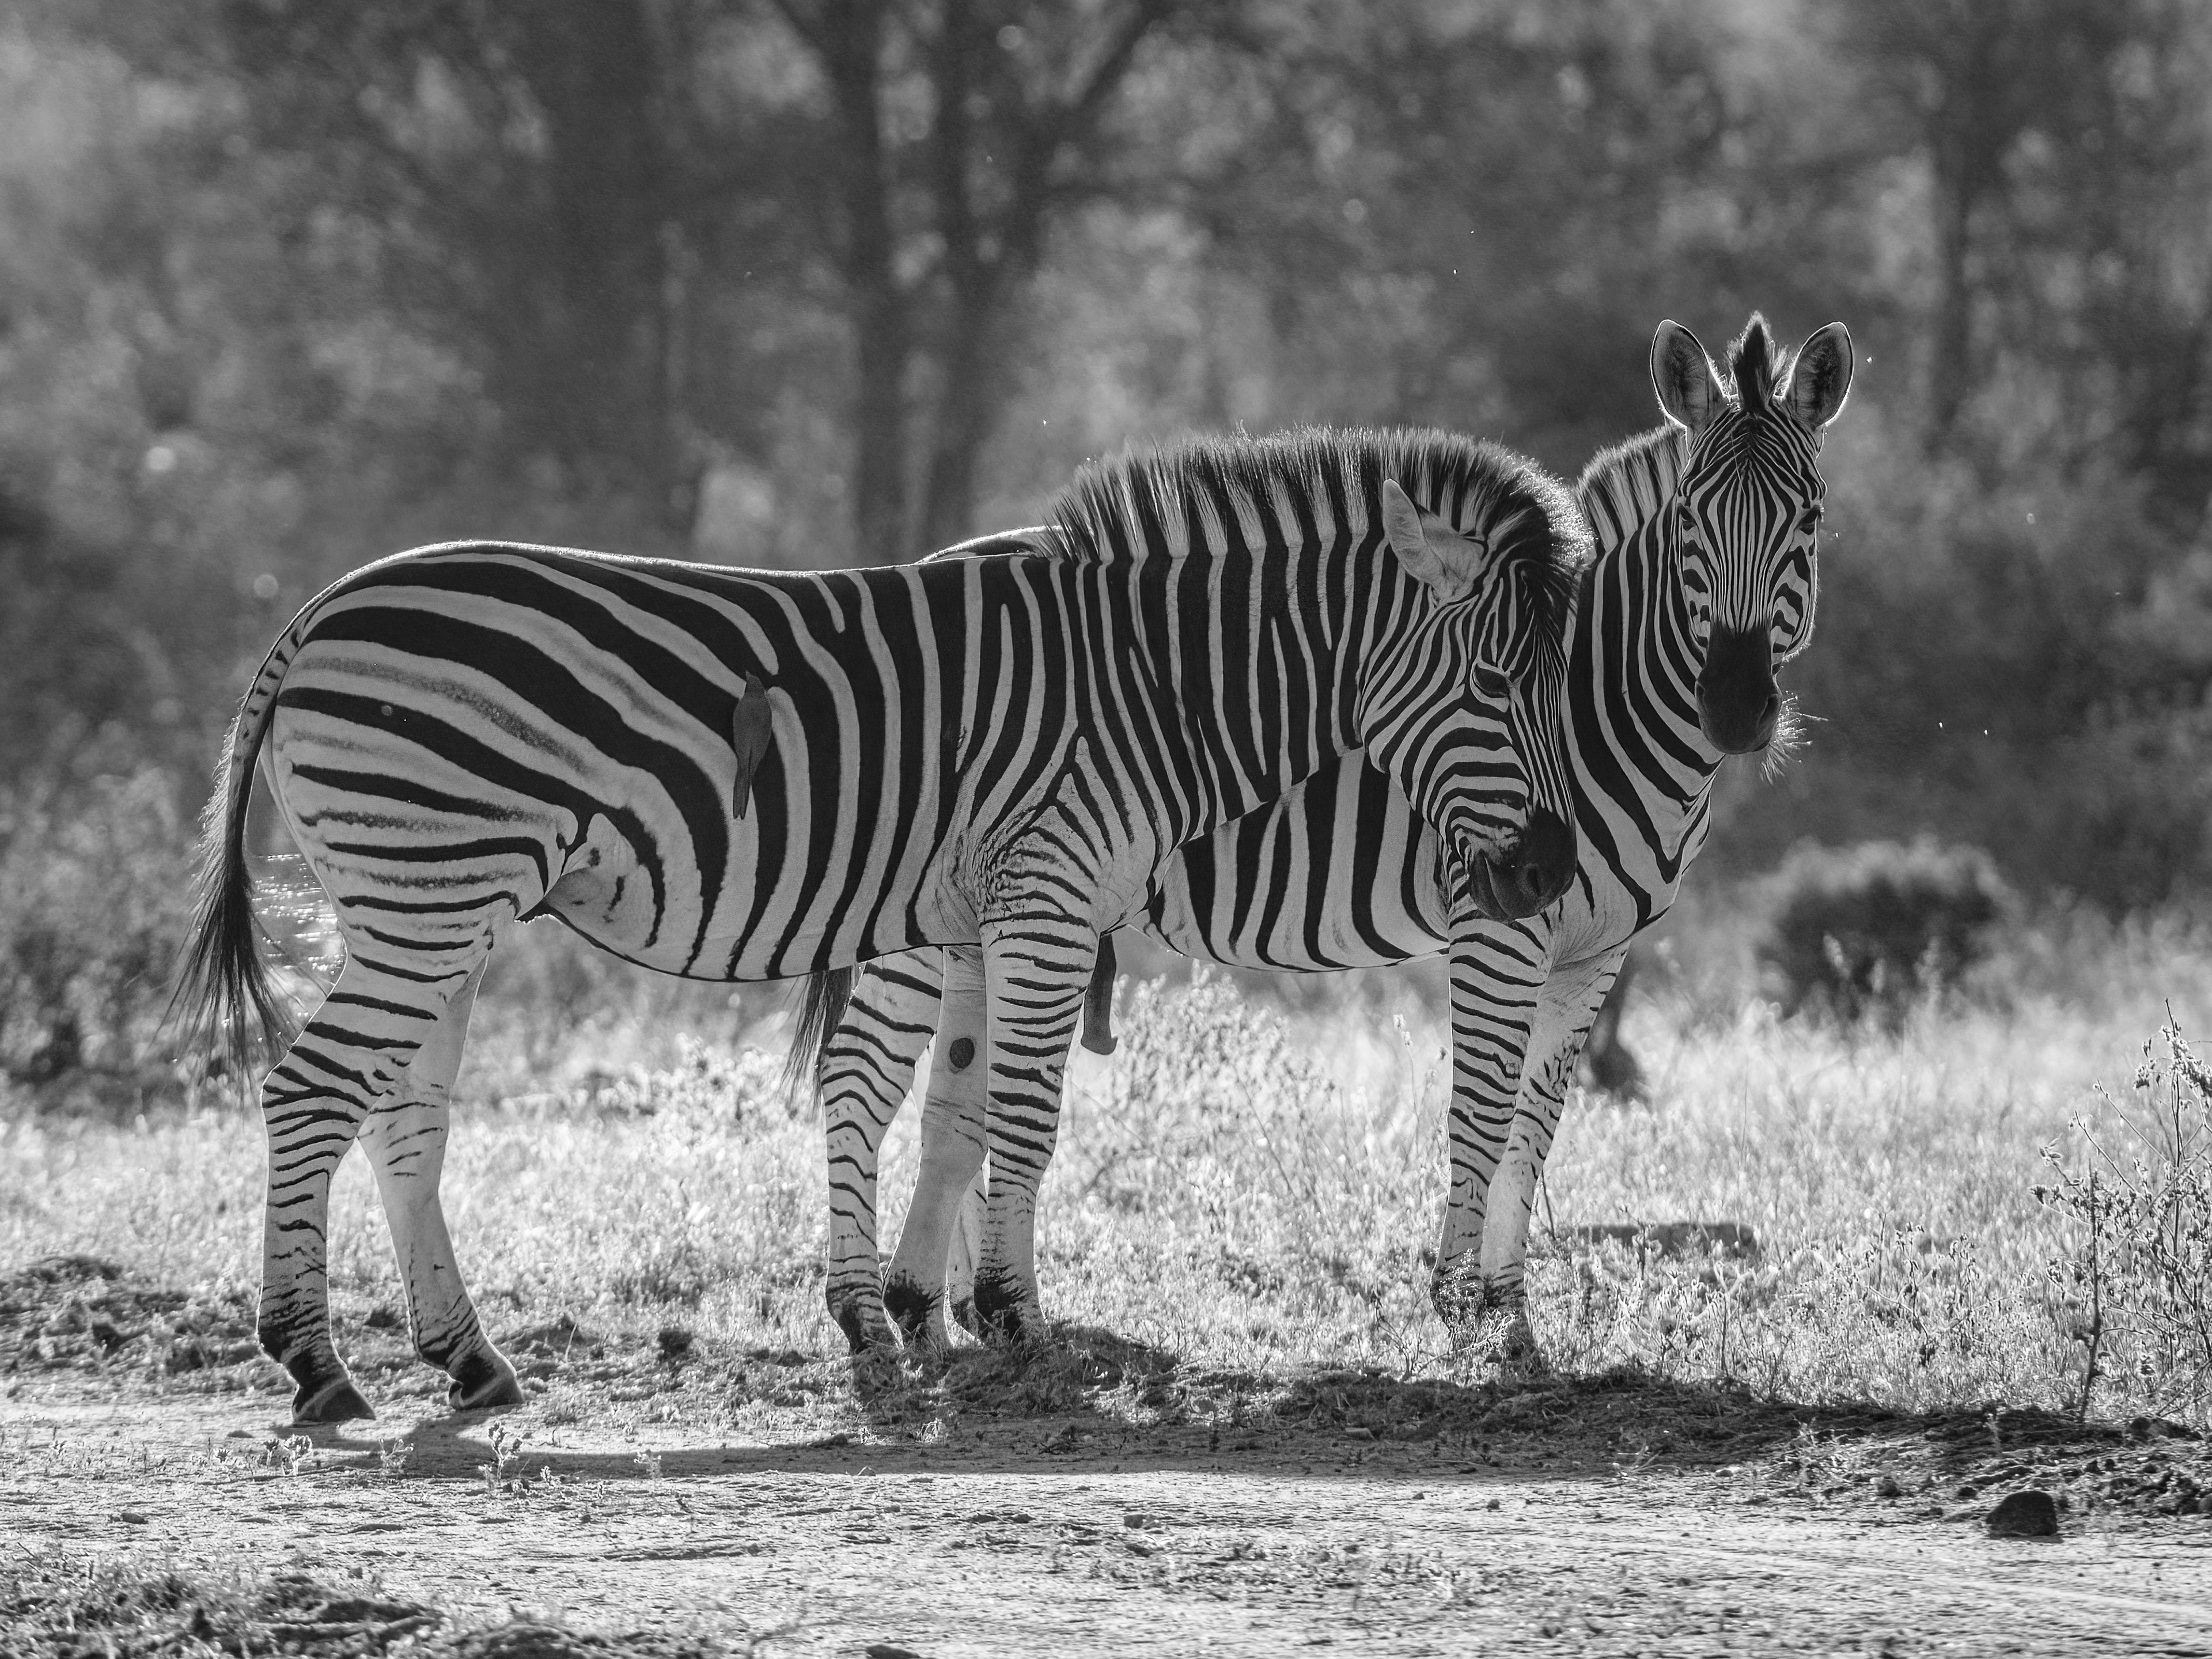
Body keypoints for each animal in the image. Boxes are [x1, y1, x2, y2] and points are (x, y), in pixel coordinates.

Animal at [170, 426, 1590, 1422]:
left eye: (1551, 683)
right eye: (1494, 680)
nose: (1550, 872)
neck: (1152, 688)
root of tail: (317, 612)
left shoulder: (985, 911)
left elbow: (966, 1113)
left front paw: (946, 1317)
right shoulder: (1050, 890)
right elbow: (1026, 1116)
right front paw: (1016, 1324)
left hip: (425, 903)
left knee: (401, 1114)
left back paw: (468, 1360)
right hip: (431, 885)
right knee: (310, 1090)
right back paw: (315, 1365)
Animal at [803, 314, 1852, 1358]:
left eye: (1810, 519)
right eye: (1693, 522)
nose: (1735, 706)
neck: (1601, 707)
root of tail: (938, 559)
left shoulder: (1595, 953)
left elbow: (1534, 1129)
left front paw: (1513, 1317)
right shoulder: (1499, 924)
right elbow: (1480, 1112)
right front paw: (1462, 1312)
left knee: (950, 1094)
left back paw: (933, 1310)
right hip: (917, 896)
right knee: (862, 1076)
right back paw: (874, 1312)